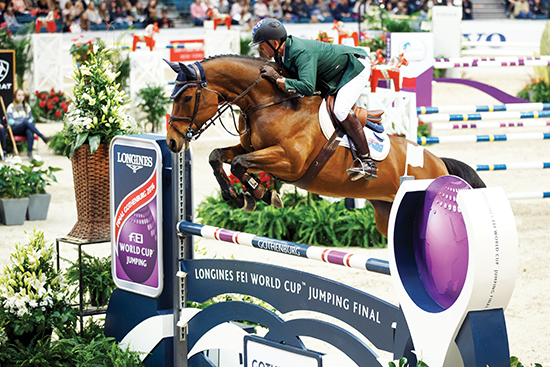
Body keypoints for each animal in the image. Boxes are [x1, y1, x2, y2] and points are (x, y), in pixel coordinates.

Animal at [165, 55, 488, 237]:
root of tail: (440, 163)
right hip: (386, 214)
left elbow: (239, 164)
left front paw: (260, 194)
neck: (272, 102)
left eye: (186, 97)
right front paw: (239, 197)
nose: (172, 142)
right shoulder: (250, 147)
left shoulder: (289, 162)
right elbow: (218, 156)